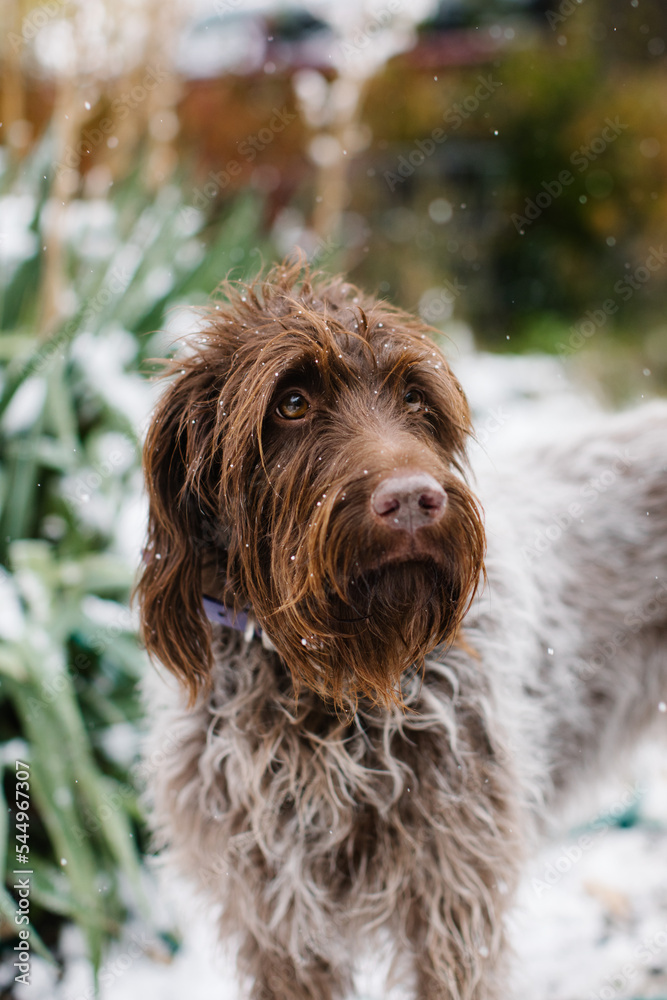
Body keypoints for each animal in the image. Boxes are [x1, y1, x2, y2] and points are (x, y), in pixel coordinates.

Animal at [137, 262, 667, 996]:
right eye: (291, 402)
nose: (415, 499)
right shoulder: (276, 918)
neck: (323, 677)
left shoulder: (450, 893)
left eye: (416, 399)